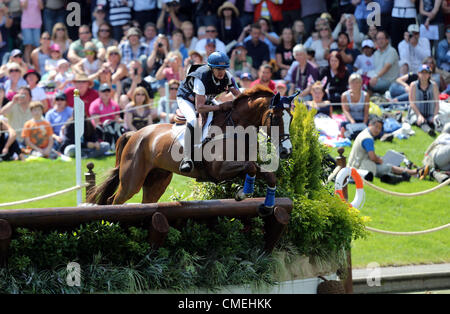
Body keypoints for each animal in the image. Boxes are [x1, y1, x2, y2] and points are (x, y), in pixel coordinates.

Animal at [88, 86, 298, 216]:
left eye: (291, 118)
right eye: (275, 118)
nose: (286, 151)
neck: (237, 127)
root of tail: (135, 134)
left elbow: (268, 175)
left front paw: (266, 206)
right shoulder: (219, 170)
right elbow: (251, 168)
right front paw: (242, 193)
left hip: (157, 180)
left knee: (146, 202)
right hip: (132, 180)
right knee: (114, 200)